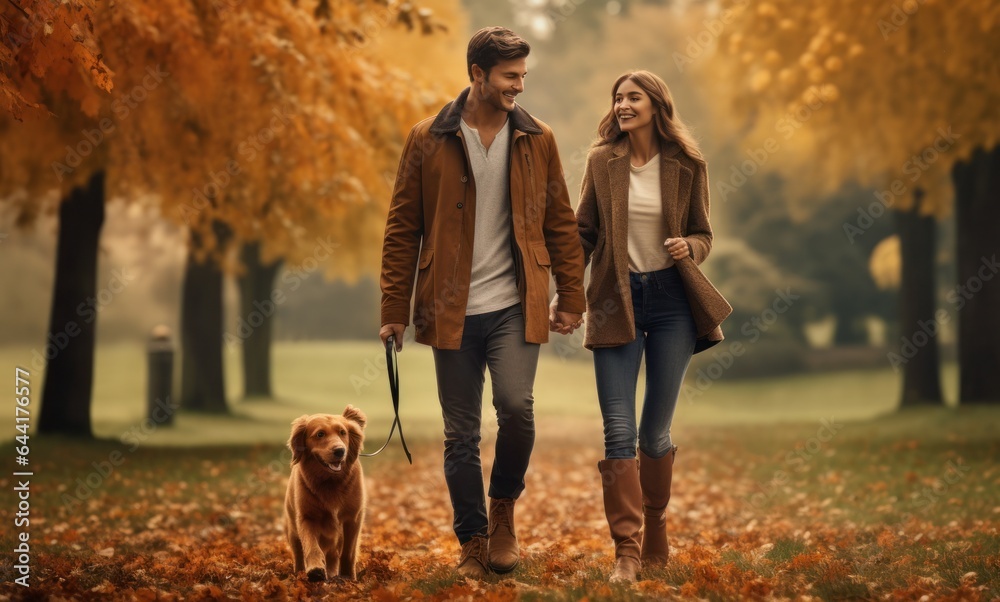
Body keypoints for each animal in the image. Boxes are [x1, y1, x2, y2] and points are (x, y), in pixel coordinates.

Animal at [284, 406, 366, 580]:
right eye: (320, 434)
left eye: (343, 432)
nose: (340, 451)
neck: (330, 482)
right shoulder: (307, 516)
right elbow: (311, 545)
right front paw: (315, 569)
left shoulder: (353, 519)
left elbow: (348, 552)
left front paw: (349, 577)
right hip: (292, 530)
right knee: (298, 554)